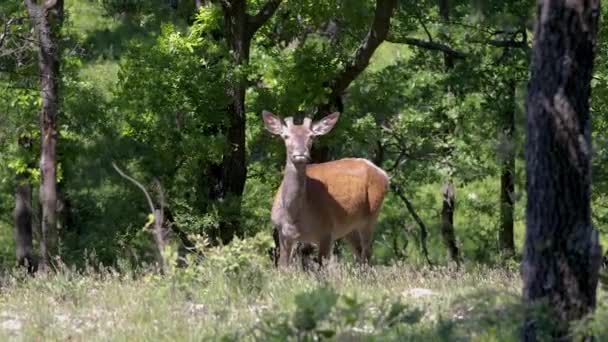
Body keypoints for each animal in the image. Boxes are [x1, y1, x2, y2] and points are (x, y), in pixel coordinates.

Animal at [262, 111, 390, 268]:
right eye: (286, 136)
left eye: (311, 136)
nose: (301, 153)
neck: (294, 217)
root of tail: (384, 174)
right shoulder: (283, 233)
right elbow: (282, 267)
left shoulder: (326, 231)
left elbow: (322, 268)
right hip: (349, 227)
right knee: (360, 253)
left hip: (371, 215)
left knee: (367, 254)